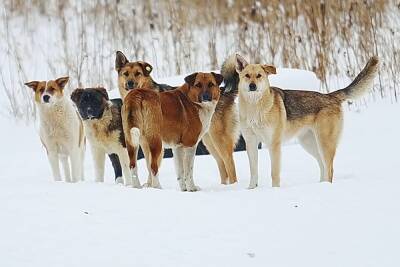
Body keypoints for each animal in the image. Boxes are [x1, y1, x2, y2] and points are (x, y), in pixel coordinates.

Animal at [115, 51, 241, 185]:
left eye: (138, 73)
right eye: (125, 74)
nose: (130, 83)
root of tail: (224, 91)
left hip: (217, 139)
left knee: (229, 163)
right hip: (208, 141)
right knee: (222, 164)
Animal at [227, 54, 380, 188]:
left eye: (259, 75)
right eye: (247, 76)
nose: (252, 86)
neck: (254, 107)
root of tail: (330, 96)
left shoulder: (274, 145)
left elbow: (274, 173)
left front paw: (274, 190)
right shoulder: (251, 143)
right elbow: (253, 172)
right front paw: (251, 189)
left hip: (324, 144)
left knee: (330, 169)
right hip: (310, 144)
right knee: (323, 166)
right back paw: (320, 185)